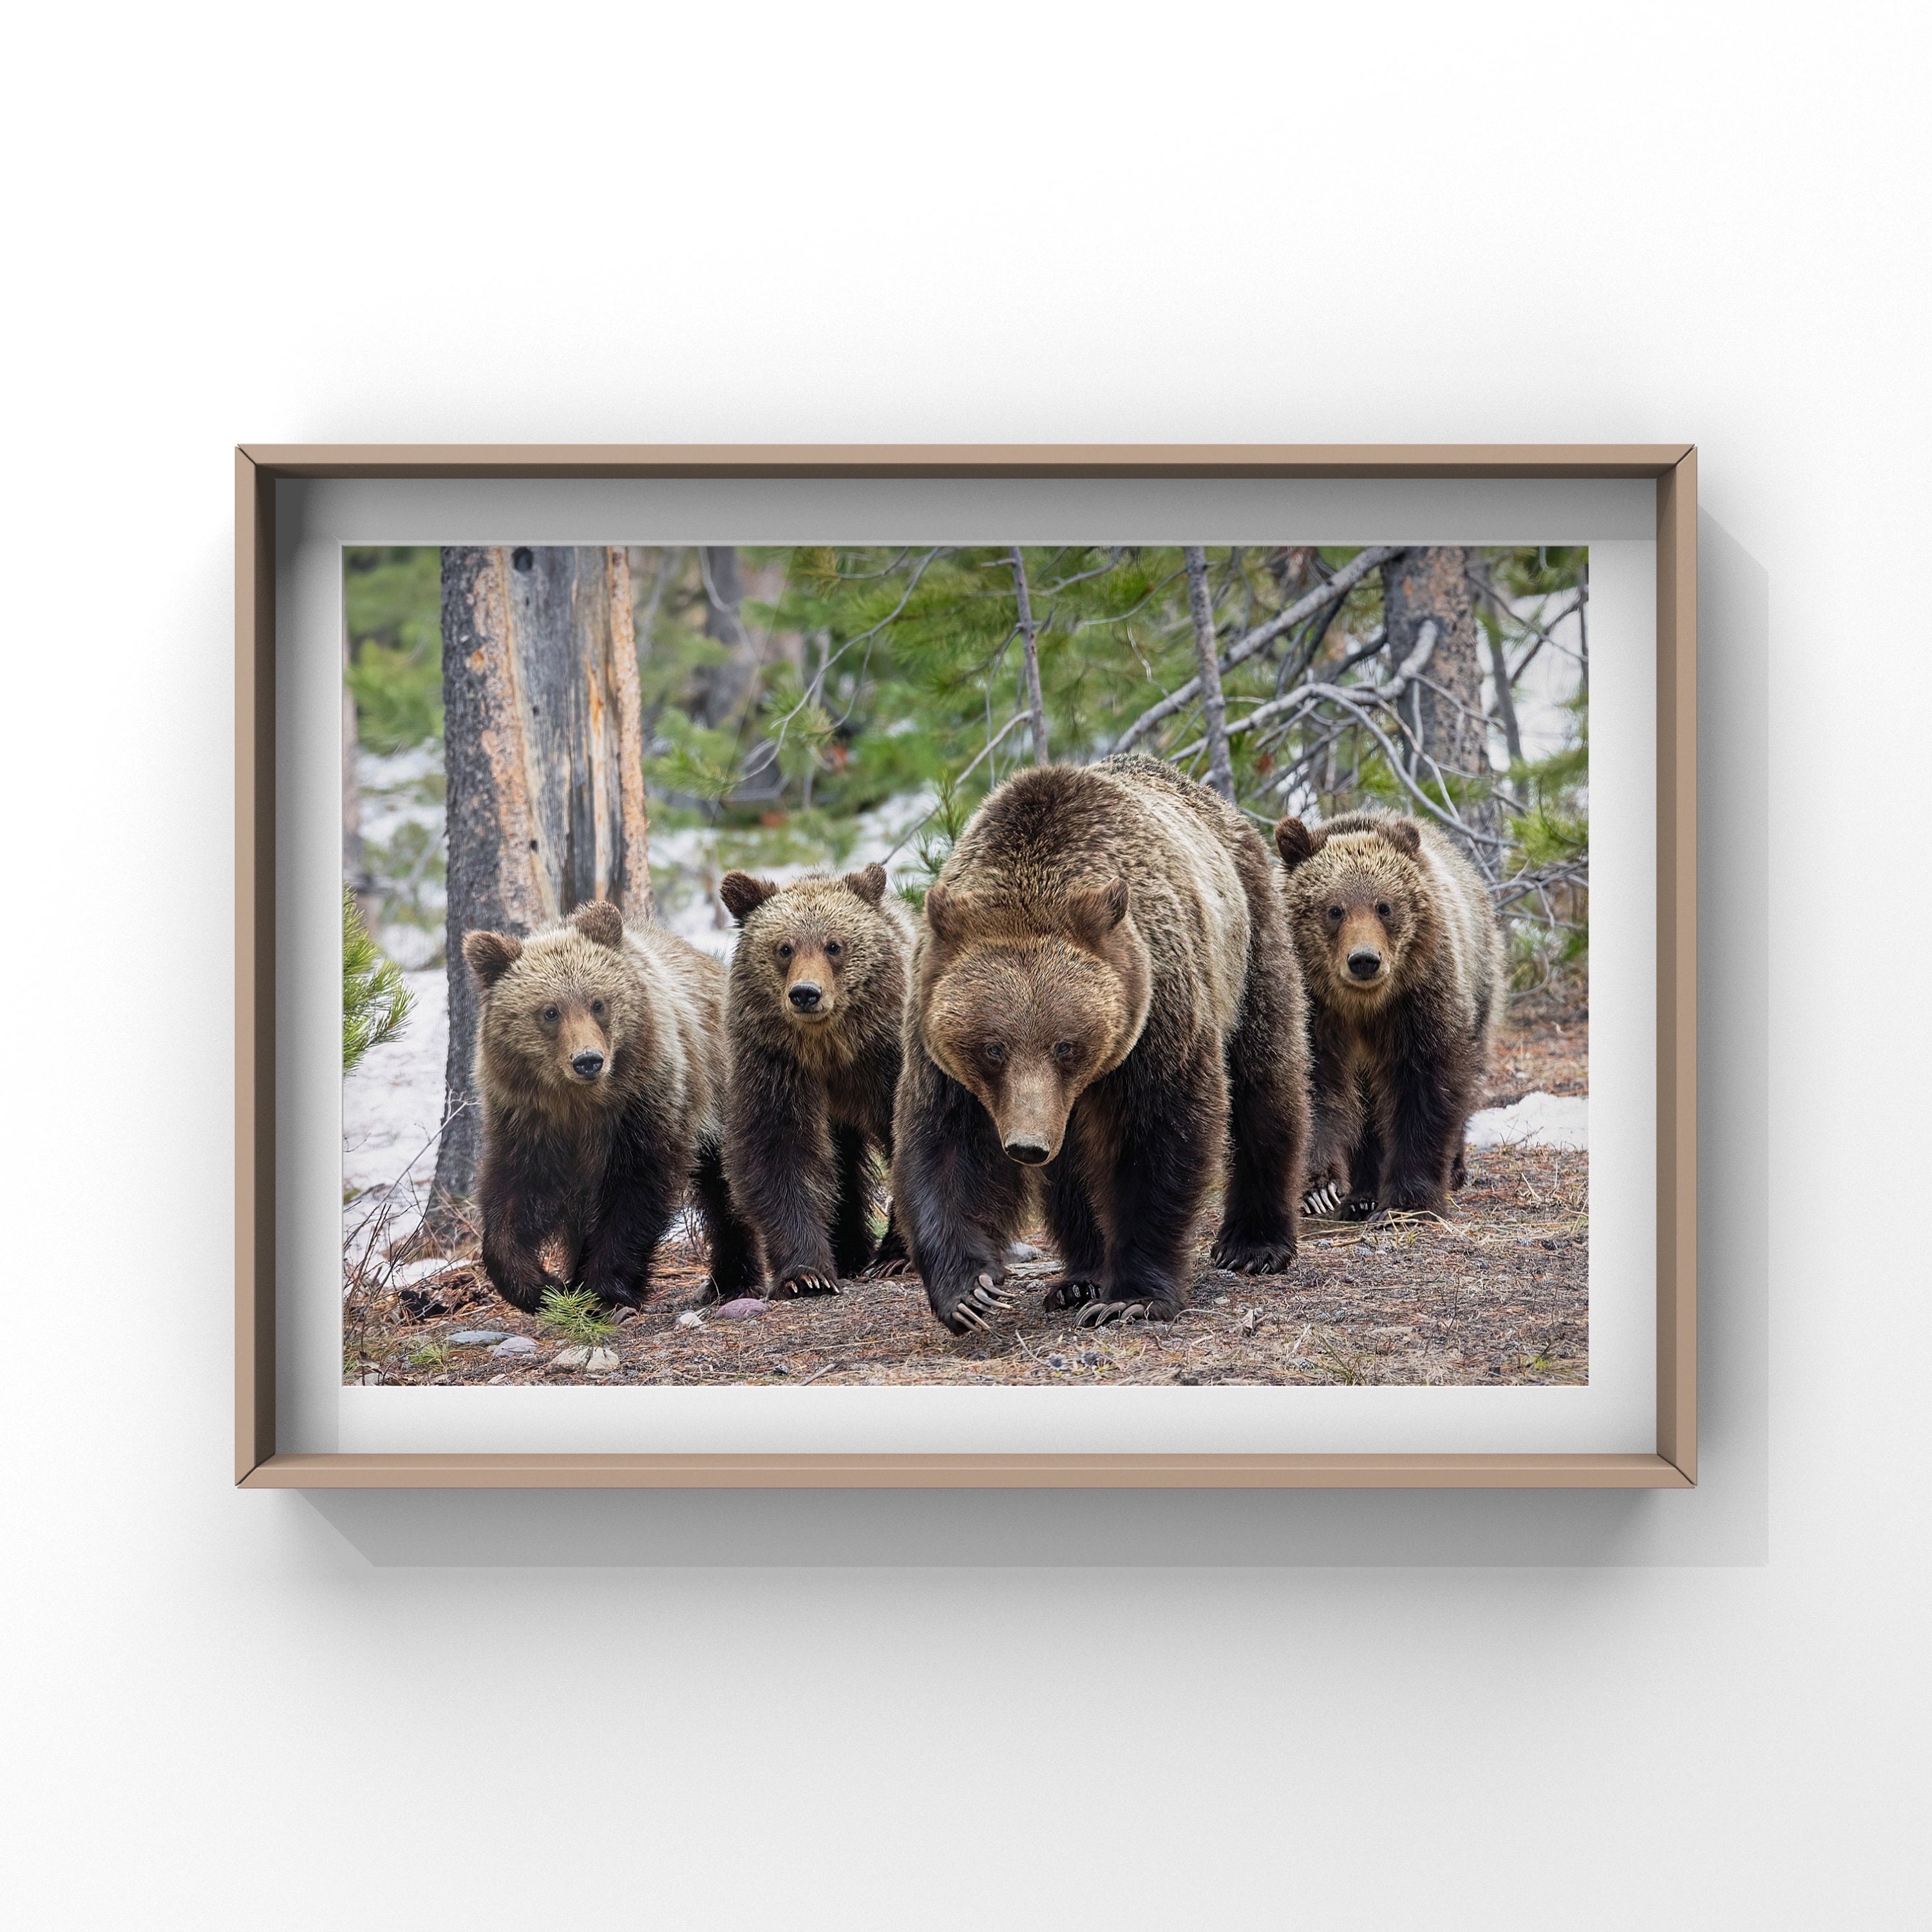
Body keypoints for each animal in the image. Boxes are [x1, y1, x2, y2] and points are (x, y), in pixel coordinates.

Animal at [460, 899, 760, 1313]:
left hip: (723, 1087)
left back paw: (732, 1280)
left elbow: (635, 1190)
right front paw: (542, 1285)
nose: (588, 1060)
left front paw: (603, 1290)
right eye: (550, 1011)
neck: (582, 1103)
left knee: (728, 1185)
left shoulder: (646, 1103)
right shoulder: (527, 1120)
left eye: (598, 1003)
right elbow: (513, 1197)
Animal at [717, 861, 915, 1297]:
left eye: (834, 945)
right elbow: (779, 1152)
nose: (805, 993)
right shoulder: (776, 1065)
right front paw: (805, 1275)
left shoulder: (888, 1060)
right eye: (784, 948)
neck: (831, 1048)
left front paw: (897, 1255)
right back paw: (850, 1251)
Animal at [892, 753, 1310, 1335]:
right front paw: (969, 1291)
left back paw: (1255, 1243)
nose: (1026, 1145)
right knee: (1071, 1169)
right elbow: (945, 1144)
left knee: (1264, 1082)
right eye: (993, 1048)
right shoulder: (938, 1038)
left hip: (1249, 944)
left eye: (1065, 1045)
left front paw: (1131, 1296)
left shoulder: (1157, 1008)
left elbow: (1158, 1135)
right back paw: (1079, 1277)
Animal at [1273, 810, 1506, 1219]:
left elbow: (1424, 1087)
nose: (1365, 960)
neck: (1363, 1006)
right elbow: (1314, 1086)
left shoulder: (1417, 1002)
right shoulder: (1314, 1010)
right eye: (1334, 909)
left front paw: (1407, 1201)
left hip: (1480, 980)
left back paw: (1454, 1169)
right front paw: (1318, 1189)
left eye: (1385, 906)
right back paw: (1362, 1196)